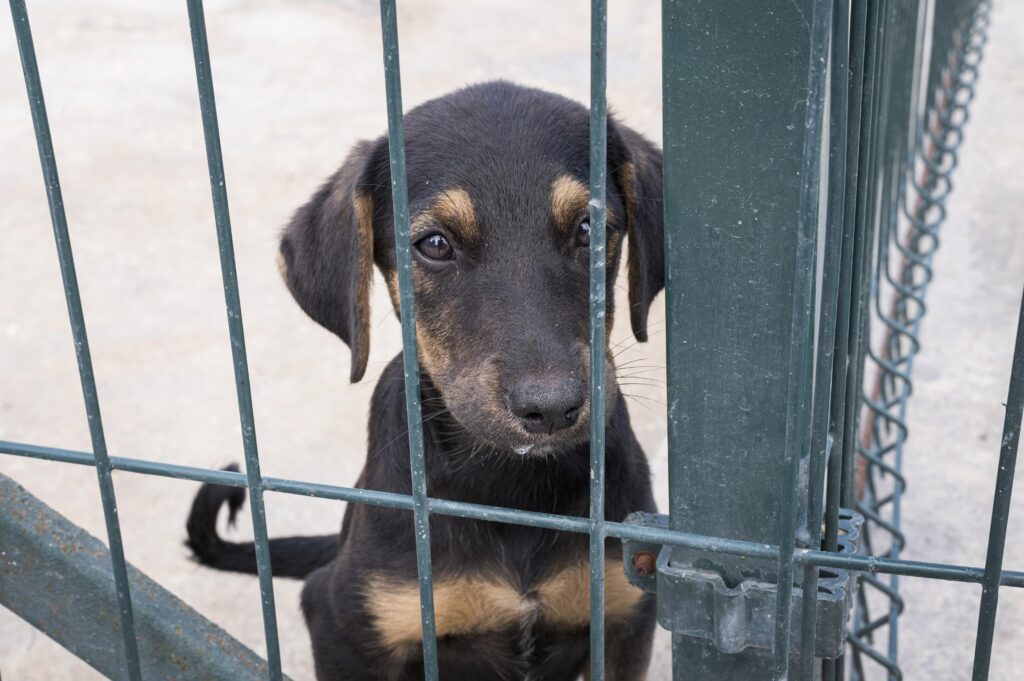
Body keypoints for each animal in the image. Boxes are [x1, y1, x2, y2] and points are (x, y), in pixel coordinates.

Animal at [184, 80, 663, 679]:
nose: (551, 408)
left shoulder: (625, 616)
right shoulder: (345, 620)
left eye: (589, 228)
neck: (508, 487)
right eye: (434, 244)